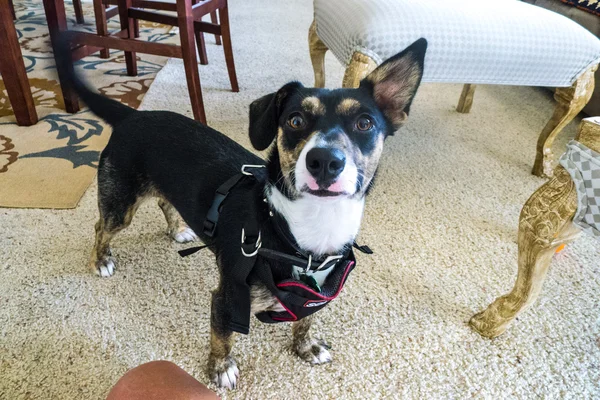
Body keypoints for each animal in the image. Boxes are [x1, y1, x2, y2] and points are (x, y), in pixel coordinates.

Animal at [57, 36, 426, 388]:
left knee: (164, 201)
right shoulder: (227, 298)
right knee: (101, 226)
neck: (302, 234)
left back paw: (177, 230)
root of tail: (134, 115)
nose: (324, 161)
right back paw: (101, 260)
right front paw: (220, 369)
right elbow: (222, 338)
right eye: (295, 120)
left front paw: (305, 347)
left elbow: (305, 321)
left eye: (364, 123)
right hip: (121, 205)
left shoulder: (314, 296)